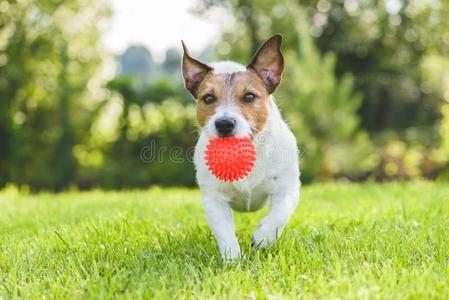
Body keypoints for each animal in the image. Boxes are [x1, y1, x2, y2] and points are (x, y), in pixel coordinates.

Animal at [180, 34, 300, 260]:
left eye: (250, 96)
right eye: (208, 98)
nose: (224, 124)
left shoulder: (287, 187)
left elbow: (279, 215)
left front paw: (263, 237)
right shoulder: (214, 199)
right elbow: (224, 232)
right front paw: (233, 260)